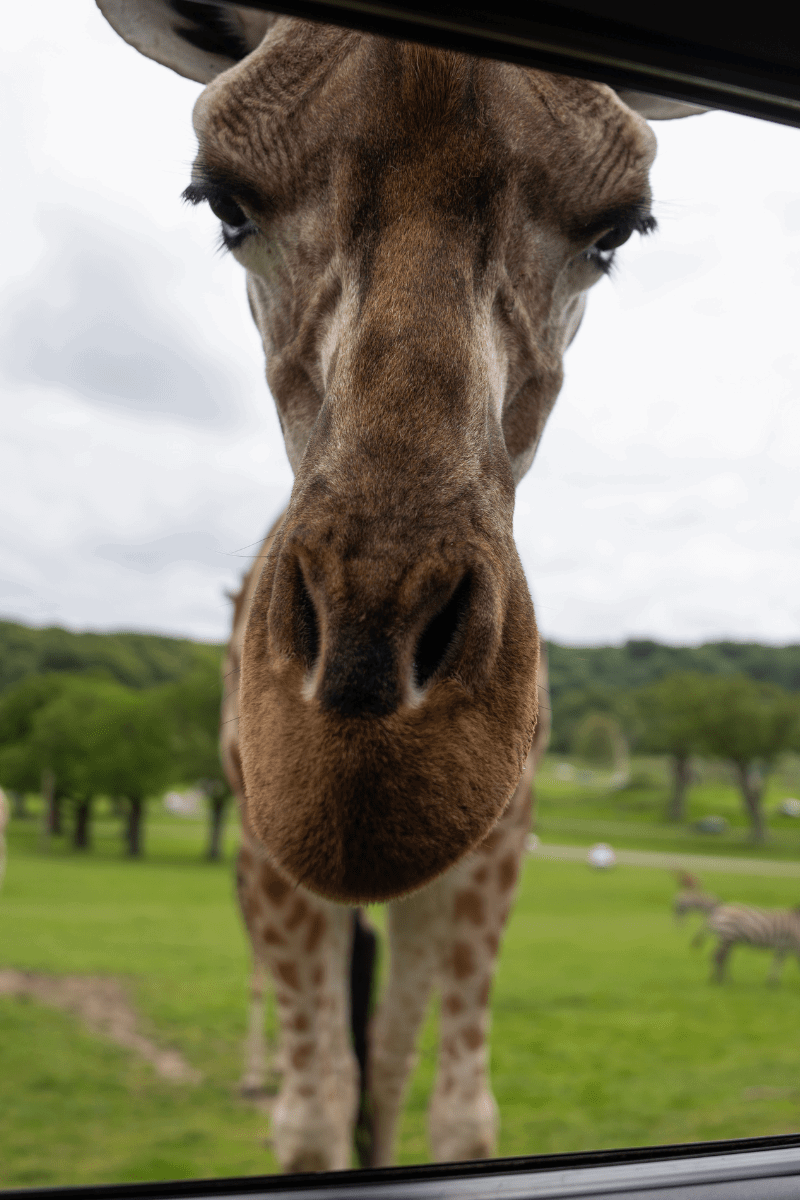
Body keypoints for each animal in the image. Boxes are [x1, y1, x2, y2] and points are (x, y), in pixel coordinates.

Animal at [97, 0, 704, 1172]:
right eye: (222, 201)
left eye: (617, 231)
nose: (360, 768)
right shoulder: (274, 859)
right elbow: (315, 1109)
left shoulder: (489, 856)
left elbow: (445, 1101)